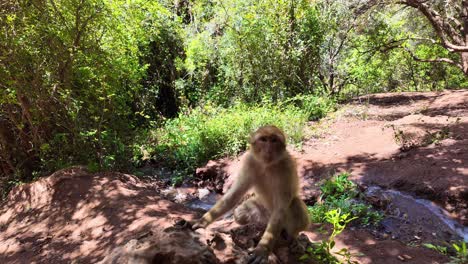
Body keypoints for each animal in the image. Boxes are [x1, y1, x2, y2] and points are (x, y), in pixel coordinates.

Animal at [188, 125, 308, 262]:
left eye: (274, 140)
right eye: (264, 139)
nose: (268, 148)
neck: (267, 165)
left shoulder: (287, 166)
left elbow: (281, 208)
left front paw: (262, 249)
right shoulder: (249, 161)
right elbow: (235, 194)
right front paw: (202, 221)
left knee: (294, 204)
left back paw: (293, 237)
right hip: (262, 213)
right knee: (240, 213)